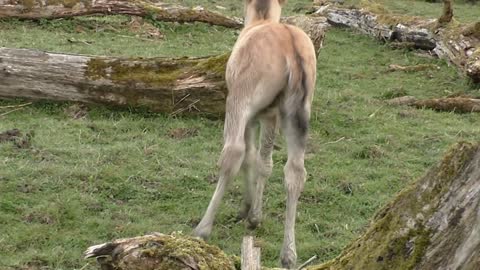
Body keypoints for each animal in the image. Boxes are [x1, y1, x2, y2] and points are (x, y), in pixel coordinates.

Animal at [193, 0, 316, 268]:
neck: (260, 19)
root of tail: (292, 52)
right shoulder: (270, 114)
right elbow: (263, 162)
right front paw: (254, 215)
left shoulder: (252, 113)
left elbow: (248, 156)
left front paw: (248, 209)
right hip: (298, 110)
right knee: (295, 170)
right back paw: (288, 254)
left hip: (240, 99)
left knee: (232, 153)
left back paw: (202, 228)